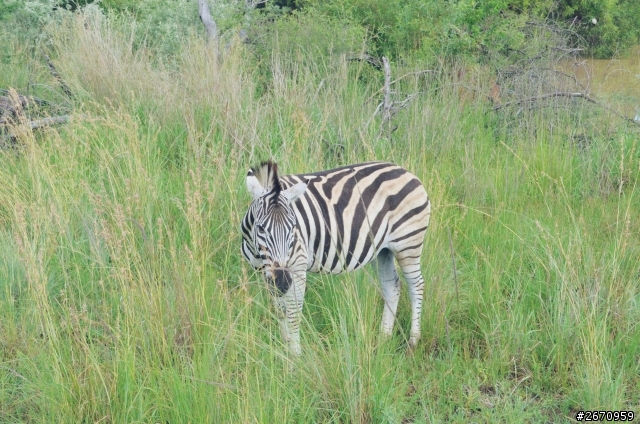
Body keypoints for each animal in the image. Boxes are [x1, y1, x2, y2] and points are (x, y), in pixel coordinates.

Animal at [242, 161, 432, 352]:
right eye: (261, 228)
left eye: (293, 228)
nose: (282, 282)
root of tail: (406, 172)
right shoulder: (266, 274)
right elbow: (279, 310)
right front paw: (284, 347)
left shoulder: (297, 266)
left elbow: (293, 313)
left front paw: (295, 355)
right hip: (382, 250)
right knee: (391, 286)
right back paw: (383, 339)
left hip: (408, 243)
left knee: (416, 285)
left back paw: (413, 342)